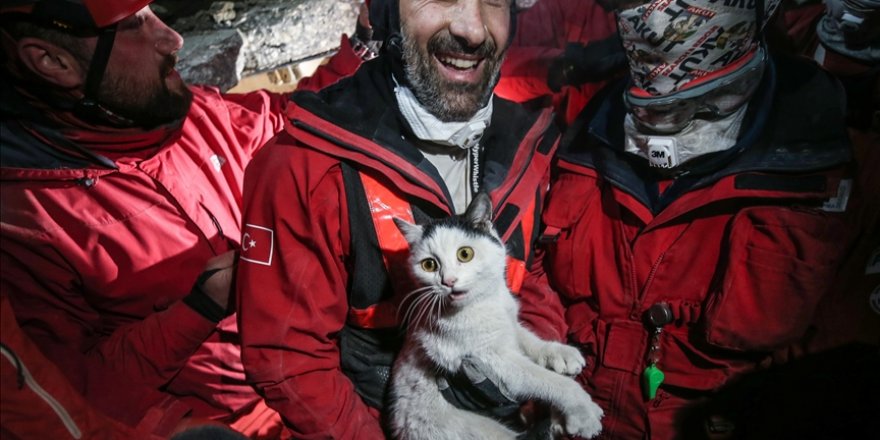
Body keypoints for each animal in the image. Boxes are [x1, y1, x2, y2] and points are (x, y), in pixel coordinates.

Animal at [392, 193, 604, 440]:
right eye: (429, 265)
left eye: (465, 254)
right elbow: (545, 379)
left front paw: (560, 354)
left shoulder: (509, 324)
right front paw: (583, 411)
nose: (448, 281)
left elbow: (530, 341)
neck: (485, 302)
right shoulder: (493, 360)